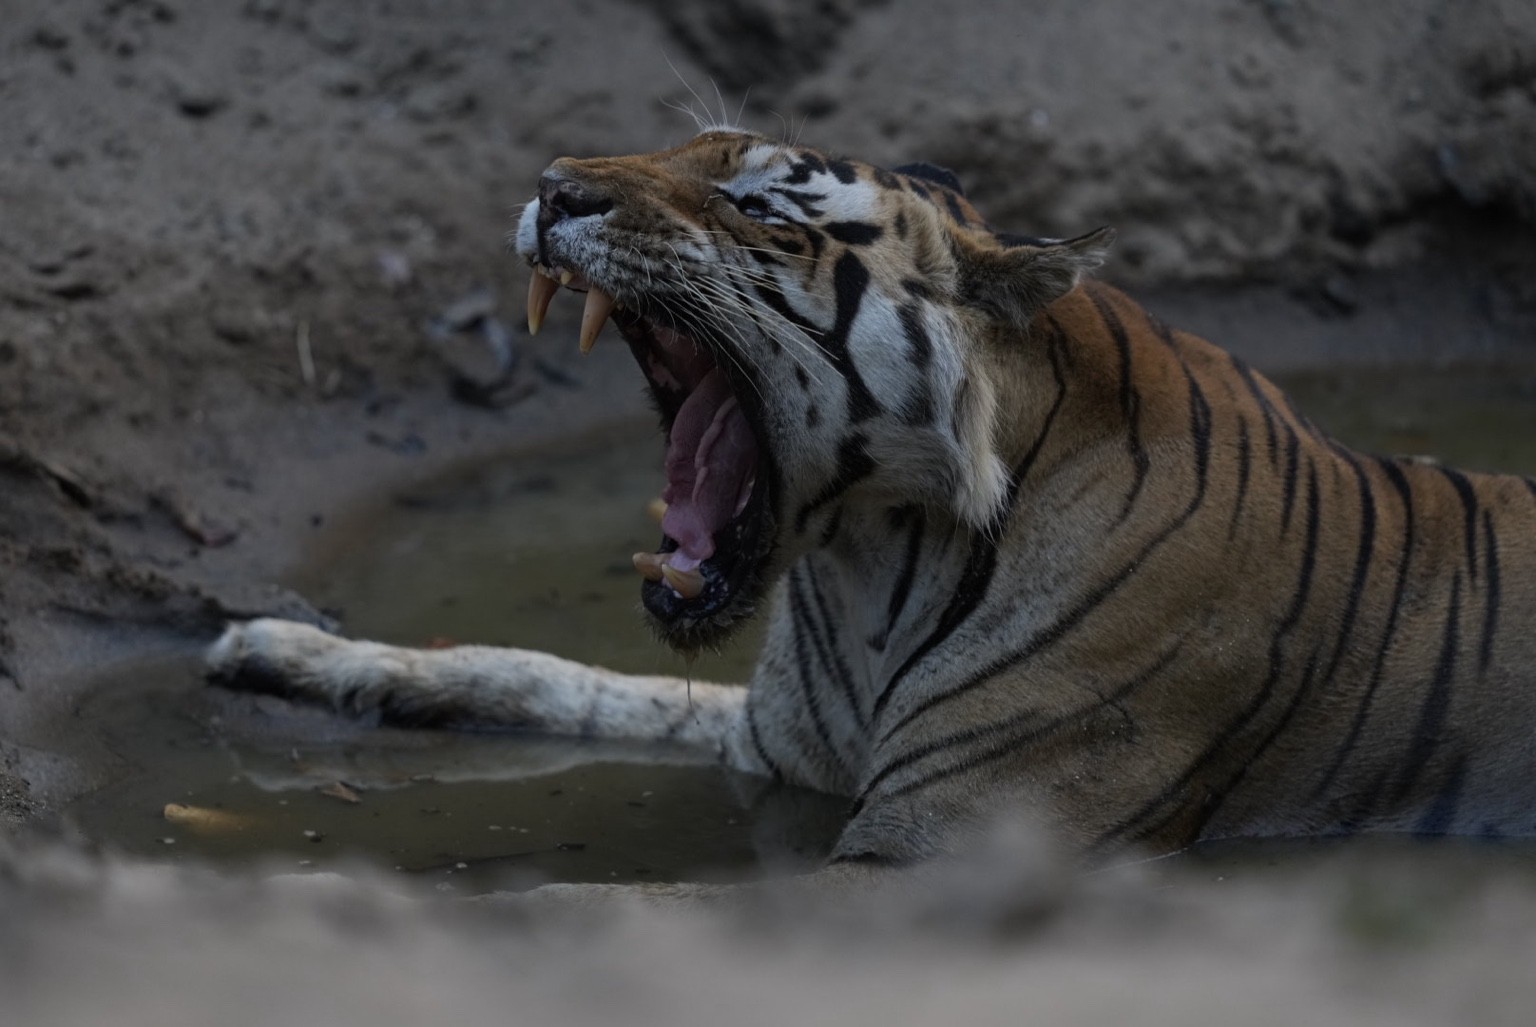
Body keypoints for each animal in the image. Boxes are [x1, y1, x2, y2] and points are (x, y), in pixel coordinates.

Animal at [209, 128, 1536, 885]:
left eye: (758, 207)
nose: (551, 187)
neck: (863, 565)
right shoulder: (776, 745)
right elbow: (554, 674)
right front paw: (296, 653)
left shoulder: (943, 848)